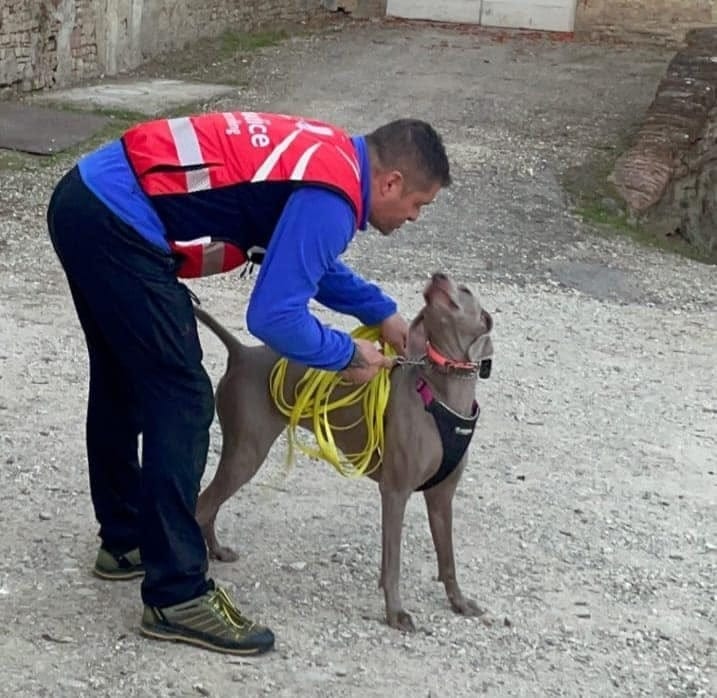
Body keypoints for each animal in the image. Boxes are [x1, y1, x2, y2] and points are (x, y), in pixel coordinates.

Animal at [194, 274, 492, 632]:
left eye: (466, 290)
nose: (437, 275)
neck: (442, 394)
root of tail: (241, 352)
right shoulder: (395, 491)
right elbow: (392, 564)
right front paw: (396, 613)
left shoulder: (441, 496)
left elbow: (448, 559)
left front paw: (459, 602)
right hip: (246, 453)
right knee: (202, 505)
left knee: (209, 506)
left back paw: (216, 551)